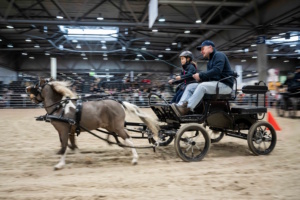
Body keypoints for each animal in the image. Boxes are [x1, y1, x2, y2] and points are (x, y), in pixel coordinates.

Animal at [25, 79, 159, 170]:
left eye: (36, 86)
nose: (27, 90)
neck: (60, 108)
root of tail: (119, 102)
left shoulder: (63, 130)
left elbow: (64, 146)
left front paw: (59, 165)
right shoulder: (70, 130)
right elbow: (72, 146)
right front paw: (82, 158)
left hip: (118, 127)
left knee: (129, 139)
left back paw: (135, 159)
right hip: (111, 126)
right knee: (121, 138)